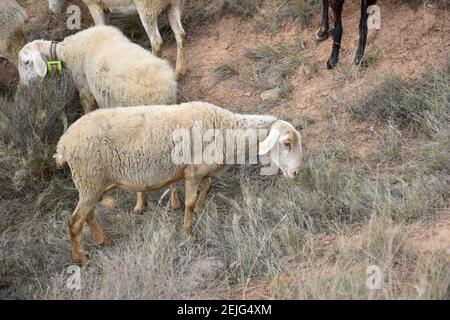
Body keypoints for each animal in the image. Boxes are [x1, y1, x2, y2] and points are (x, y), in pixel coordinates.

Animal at [18, 25, 178, 215]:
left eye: (26, 63)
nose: (23, 89)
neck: (65, 50)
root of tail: (166, 90)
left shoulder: (84, 89)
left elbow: (88, 109)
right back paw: (174, 203)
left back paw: (140, 204)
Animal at [50, 0, 187, 79]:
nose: (52, 11)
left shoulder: (94, 5)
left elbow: (101, 27)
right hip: (173, 5)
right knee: (180, 34)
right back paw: (178, 72)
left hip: (147, 8)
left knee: (156, 42)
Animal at [54, 102, 304, 262]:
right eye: (287, 143)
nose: (296, 173)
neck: (226, 128)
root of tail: (63, 143)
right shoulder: (192, 172)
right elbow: (189, 203)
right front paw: (189, 232)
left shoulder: (200, 170)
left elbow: (208, 185)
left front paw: (202, 206)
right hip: (89, 180)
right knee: (74, 222)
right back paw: (80, 257)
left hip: (92, 184)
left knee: (88, 215)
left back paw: (103, 240)